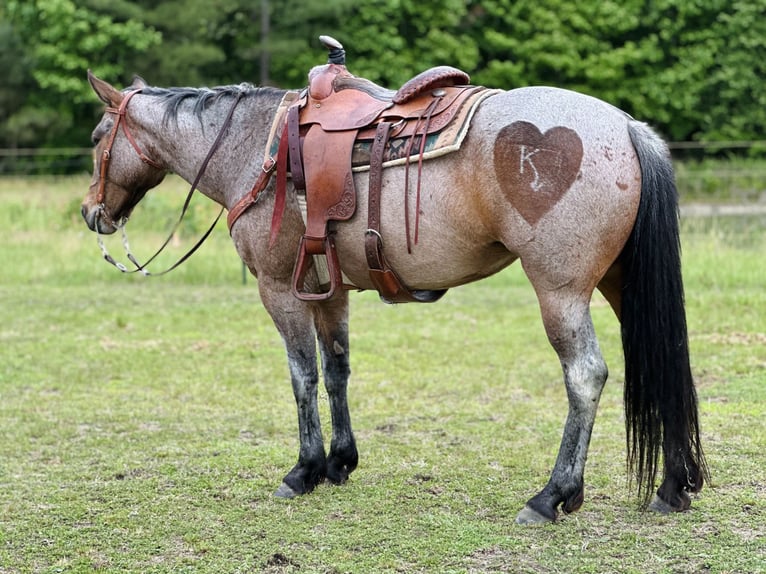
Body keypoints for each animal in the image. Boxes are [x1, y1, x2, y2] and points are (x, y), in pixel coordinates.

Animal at [80, 50, 707, 524]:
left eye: (96, 135)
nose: (92, 213)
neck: (257, 148)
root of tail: (625, 127)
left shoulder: (281, 290)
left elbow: (302, 376)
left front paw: (303, 470)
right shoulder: (327, 291)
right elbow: (336, 370)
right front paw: (339, 463)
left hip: (561, 291)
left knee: (585, 376)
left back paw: (552, 496)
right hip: (622, 286)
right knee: (665, 357)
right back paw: (673, 486)